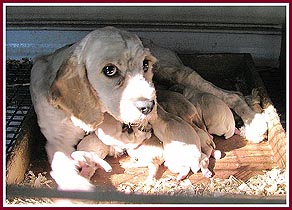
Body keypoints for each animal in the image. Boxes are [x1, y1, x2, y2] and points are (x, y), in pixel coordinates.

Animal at [29, 25, 266, 190]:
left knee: (229, 94)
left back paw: (254, 123)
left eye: (145, 64)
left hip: (173, 69)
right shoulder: (57, 142)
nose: (149, 106)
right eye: (109, 70)